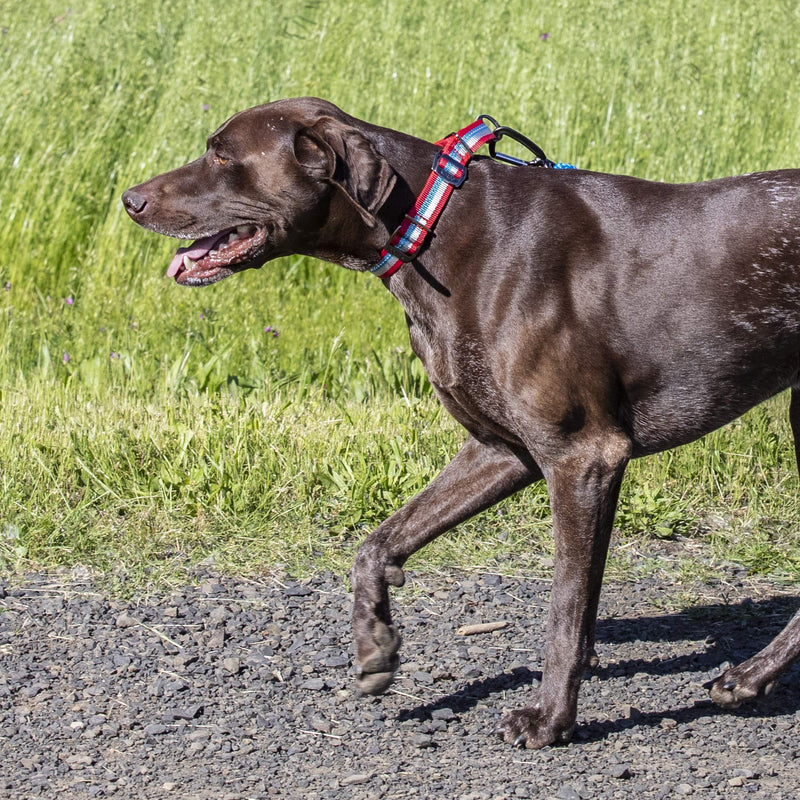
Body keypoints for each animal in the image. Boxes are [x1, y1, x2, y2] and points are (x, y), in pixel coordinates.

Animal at [122, 97, 800, 748]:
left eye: (221, 156)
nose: (130, 200)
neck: (433, 227)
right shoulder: (502, 450)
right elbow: (377, 543)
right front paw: (374, 642)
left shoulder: (583, 457)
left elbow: (564, 609)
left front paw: (551, 719)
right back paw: (752, 676)